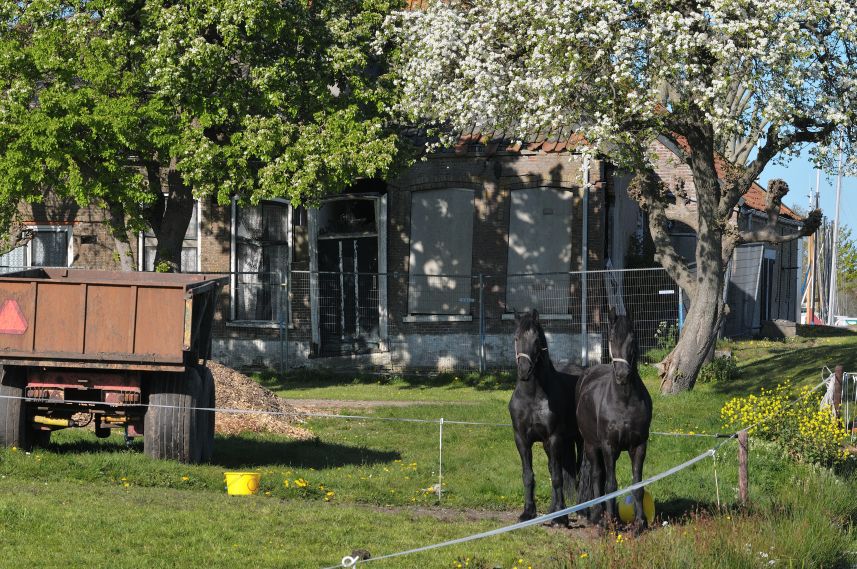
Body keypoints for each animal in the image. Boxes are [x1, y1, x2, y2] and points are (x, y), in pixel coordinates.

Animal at [508, 310, 580, 524]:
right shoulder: (522, 439)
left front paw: (561, 517)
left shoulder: (554, 438)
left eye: (536, 340)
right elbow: (529, 475)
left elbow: (557, 477)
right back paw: (551, 510)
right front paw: (528, 512)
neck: (532, 396)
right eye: (516, 338)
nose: (524, 371)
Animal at [576, 308, 656, 532]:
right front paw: (611, 523)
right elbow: (611, 485)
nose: (622, 375)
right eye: (611, 339)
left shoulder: (639, 445)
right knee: (597, 476)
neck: (624, 401)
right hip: (592, 446)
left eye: (632, 339)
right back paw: (598, 515)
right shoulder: (608, 446)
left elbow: (637, 485)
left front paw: (640, 523)